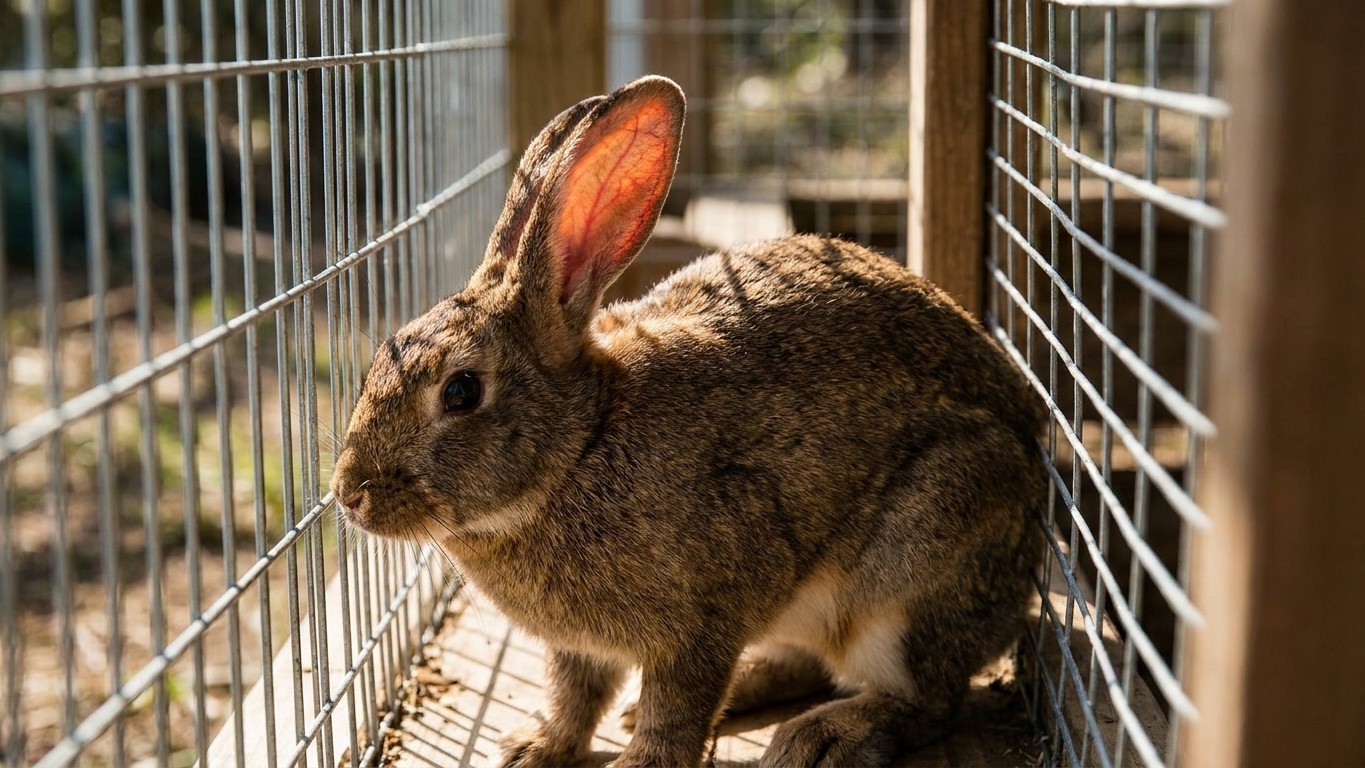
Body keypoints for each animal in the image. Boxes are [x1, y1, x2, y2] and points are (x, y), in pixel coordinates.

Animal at [330, 75, 1047, 768]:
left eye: (461, 391)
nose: (350, 496)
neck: (580, 447)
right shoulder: (579, 648)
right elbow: (573, 694)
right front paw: (533, 748)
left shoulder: (704, 619)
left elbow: (677, 705)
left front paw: (640, 763)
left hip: (919, 561)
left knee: (927, 700)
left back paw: (823, 737)